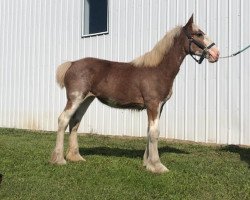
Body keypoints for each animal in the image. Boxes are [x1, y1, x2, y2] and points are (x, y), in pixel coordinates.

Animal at [50, 14, 219, 173]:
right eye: (198, 33)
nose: (216, 53)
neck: (158, 70)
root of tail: (72, 64)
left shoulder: (158, 106)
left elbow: (149, 131)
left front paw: (147, 162)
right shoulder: (153, 104)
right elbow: (155, 132)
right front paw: (157, 166)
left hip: (86, 99)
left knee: (75, 122)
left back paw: (75, 157)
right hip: (75, 98)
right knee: (63, 120)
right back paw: (59, 159)